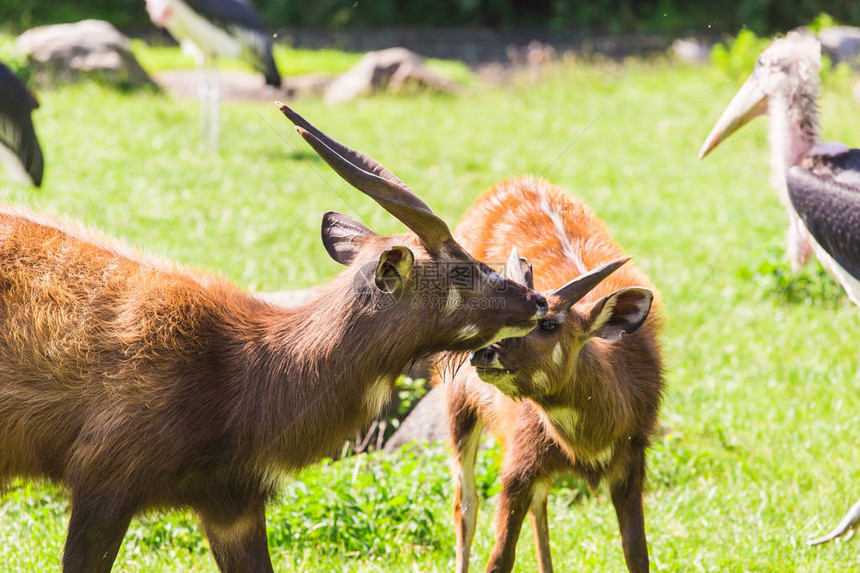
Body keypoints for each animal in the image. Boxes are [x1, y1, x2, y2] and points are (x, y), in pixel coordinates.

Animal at [444, 177, 664, 568]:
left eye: (548, 323)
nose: (483, 352)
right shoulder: (518, 463)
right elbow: (500, 557)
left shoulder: (630, 463)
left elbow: (637, 553)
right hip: (459, 406)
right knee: (465, 505)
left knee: (539, 504)